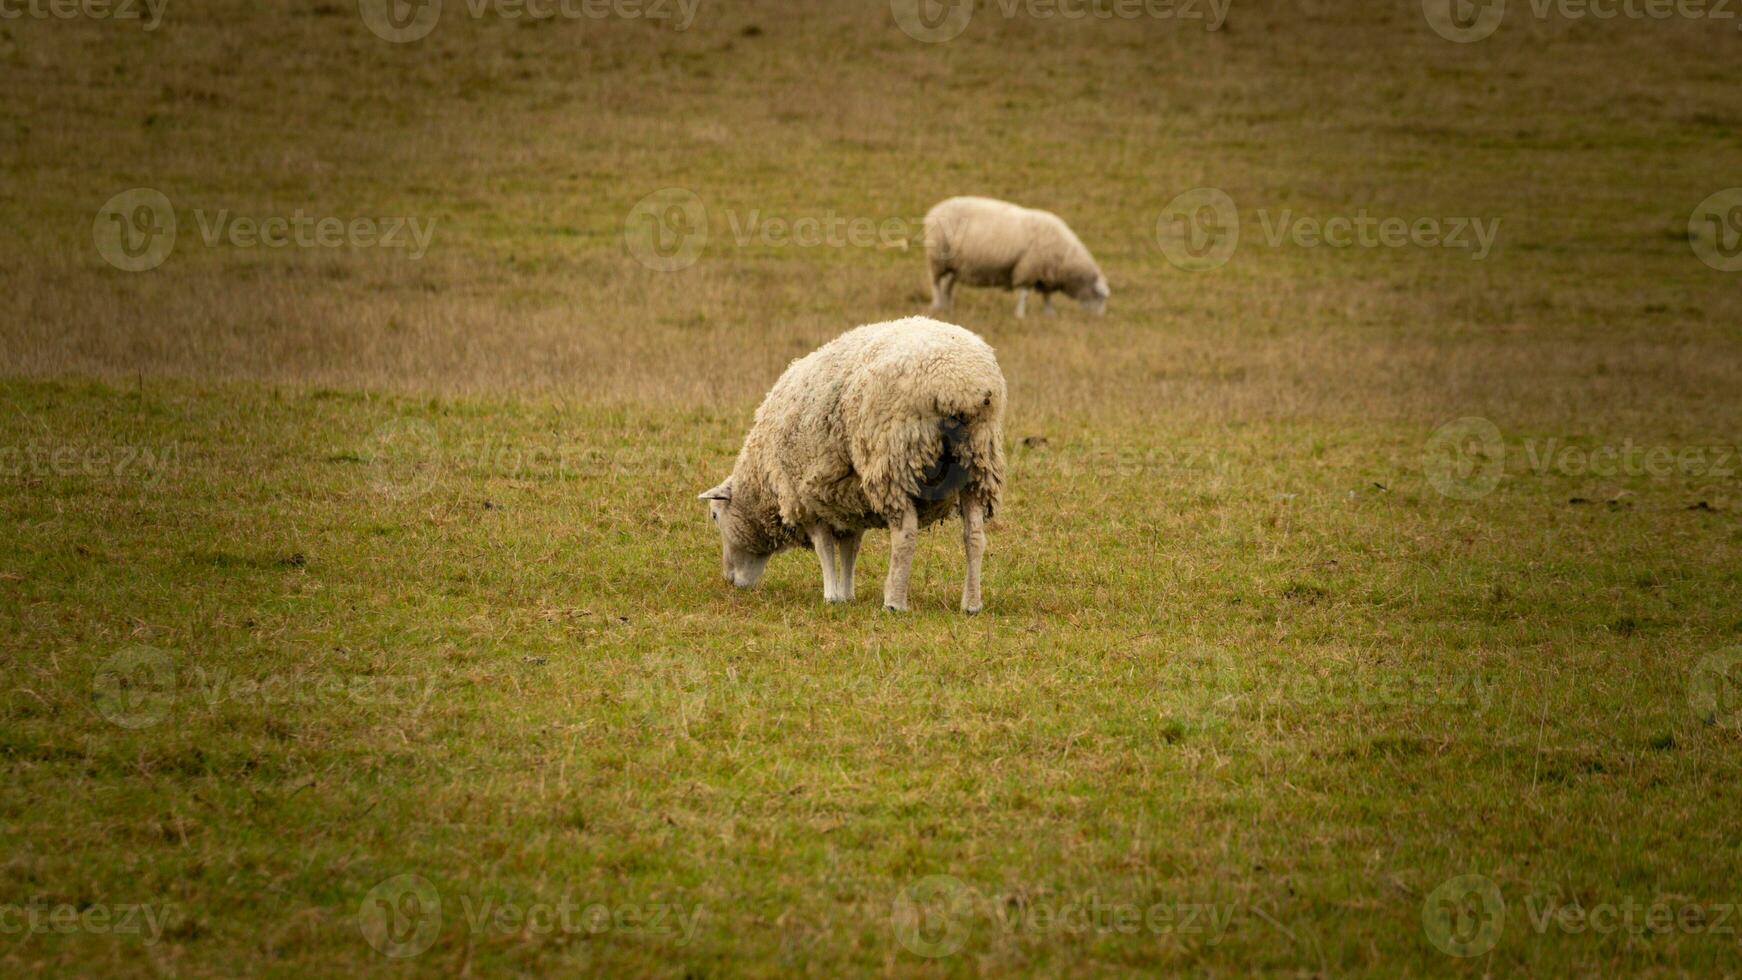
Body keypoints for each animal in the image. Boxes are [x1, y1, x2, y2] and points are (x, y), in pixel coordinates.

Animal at [696, 318, 1010, 612]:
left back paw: (894, 602)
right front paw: (847, 594)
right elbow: (850, 548)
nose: (730, 580)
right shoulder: (848, 500)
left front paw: (831, 595)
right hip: (978, 460)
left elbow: (824, 549)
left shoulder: (806, 500)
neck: (763, 483)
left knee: (905, 535)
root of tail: (960, 384)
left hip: (894, 458)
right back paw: (971, 604)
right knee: (974, 535)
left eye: (714, 515)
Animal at [919, 197, 1107, 320]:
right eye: (1101, 296)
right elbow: (1024, 294)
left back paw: (948, 305)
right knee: (935, 282)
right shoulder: (1028, 268)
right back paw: (937, 304)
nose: (1099, 319)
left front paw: (1049, 314)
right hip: (937, 256)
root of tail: (933, 210)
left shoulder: (1044, 273)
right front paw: (1021, 315)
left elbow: (1046, 296)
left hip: (956, 264)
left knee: (948, 285)